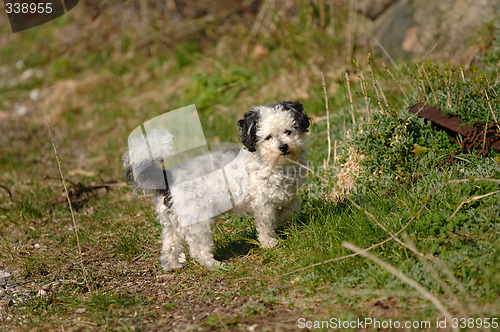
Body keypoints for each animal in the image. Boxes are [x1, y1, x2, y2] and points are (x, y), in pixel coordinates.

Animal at [122, 101, 308, 270]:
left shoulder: (288, 195)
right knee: (198, 249)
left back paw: (174, 265)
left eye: (288, 131)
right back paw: (214, 265)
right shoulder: (262, 204)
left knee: (170, 246)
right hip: (197, 222)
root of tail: (168, 178)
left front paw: (284, 221)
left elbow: (292, 209)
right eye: (268, 137)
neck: (270, 162)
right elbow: (266, 225)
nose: (283, 146)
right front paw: (270, 243)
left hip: (172, 224)